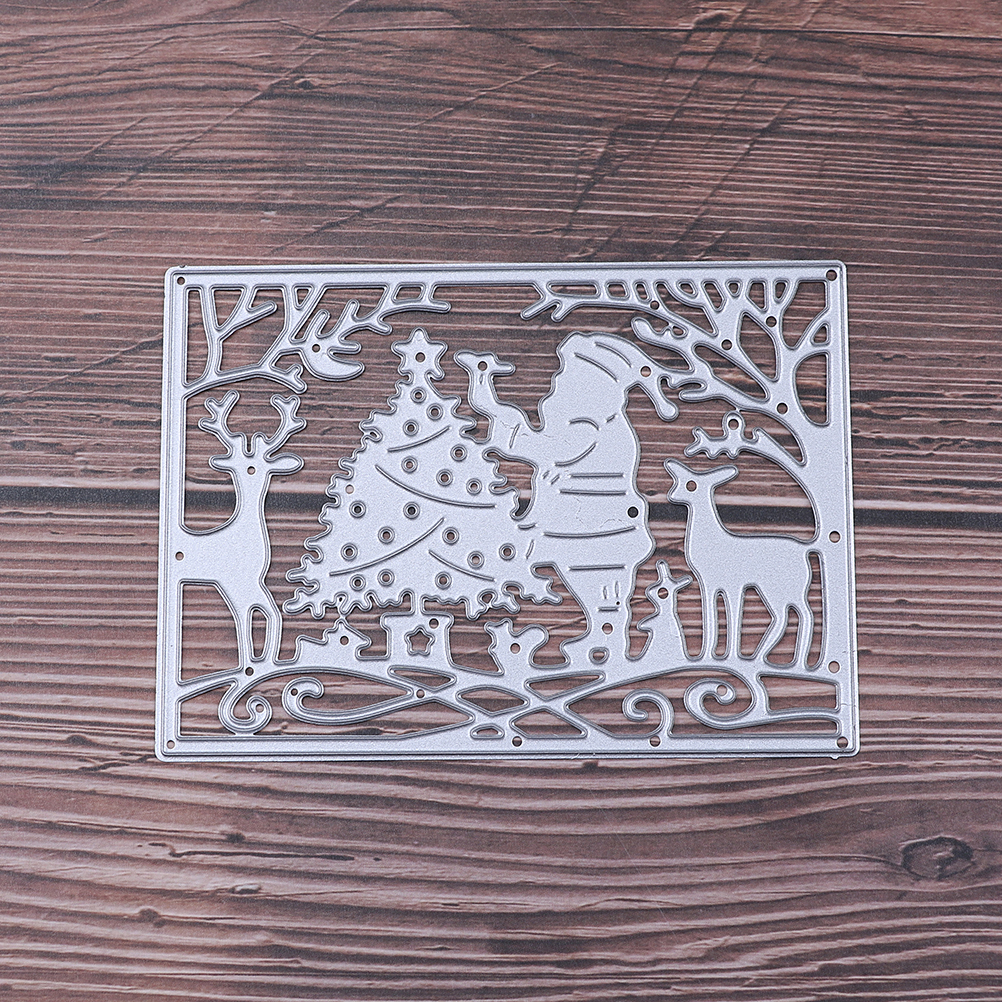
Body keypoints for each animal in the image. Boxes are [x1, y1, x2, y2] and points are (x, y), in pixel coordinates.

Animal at [175, 390, 305, 668]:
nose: (251, 474)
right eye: (244, 468)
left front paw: (264, 658)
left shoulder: (250, 583)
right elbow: (248, 616)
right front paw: (252, 662)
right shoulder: (235, 584)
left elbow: (270, 612)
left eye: (258, 468)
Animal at [664, 460, 814, 667]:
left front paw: (729, 654)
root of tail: (804, 549)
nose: (672, 495)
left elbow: (733, 615)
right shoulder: (709, 583)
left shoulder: (734, 584)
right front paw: (709, 654)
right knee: (790, 614)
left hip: (780, 587)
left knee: (799, 613)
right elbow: (711, 615)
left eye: (691, 485)